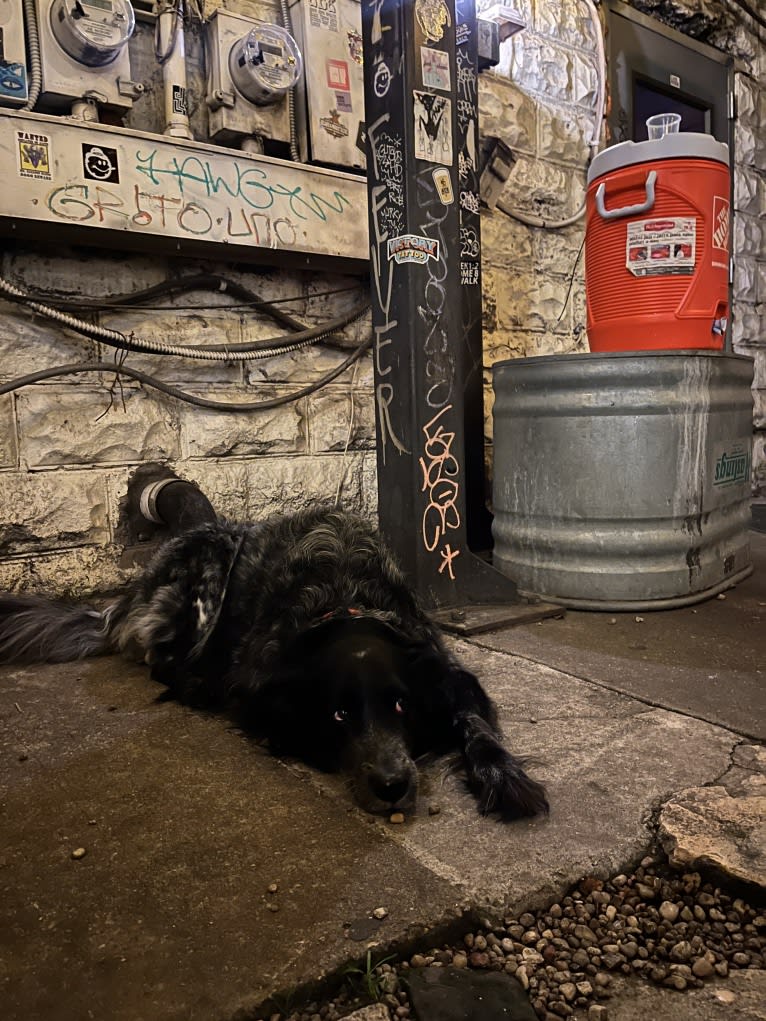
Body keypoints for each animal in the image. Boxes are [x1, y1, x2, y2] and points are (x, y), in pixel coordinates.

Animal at [0, 504, 551, 820]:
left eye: (401, 706)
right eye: (338, 715)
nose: (391, 785)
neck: (345, 597)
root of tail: (125, 600)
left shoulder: (441, 666)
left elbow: (474, 721)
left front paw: (504, 776)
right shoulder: (257, 681)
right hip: (208, 569)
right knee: (167, 662)